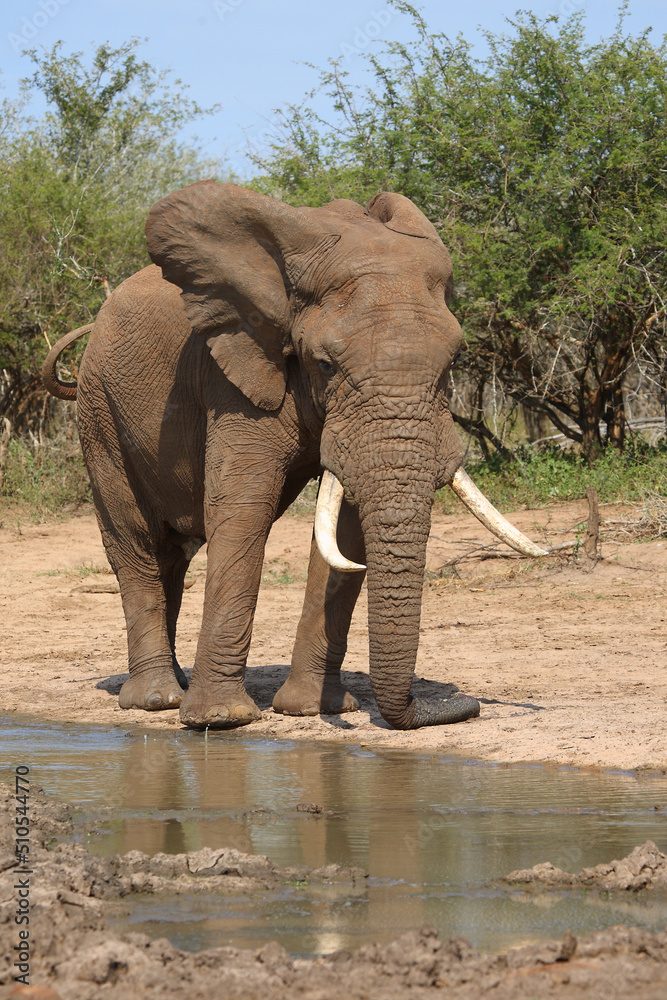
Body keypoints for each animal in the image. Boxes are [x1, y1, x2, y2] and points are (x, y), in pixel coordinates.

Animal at [43, 181, 547, 731]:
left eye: (454, 361)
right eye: (324, 364)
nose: (463, 705)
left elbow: (344, 531)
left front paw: (314, 709)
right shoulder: (233, 373)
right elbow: (243, 506)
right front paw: (221, 720)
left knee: (170, 556)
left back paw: (174, 683)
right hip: (98, 412)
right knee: (133, 540)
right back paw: (157, 699)